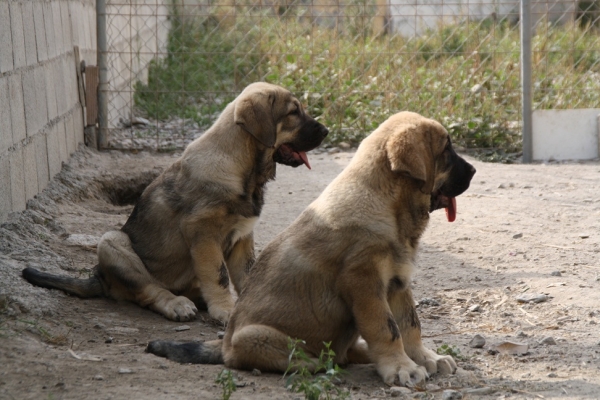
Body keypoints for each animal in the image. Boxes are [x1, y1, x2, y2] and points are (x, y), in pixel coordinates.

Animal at [23, 83, 330, 324]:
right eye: (293, 112)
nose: (327, 131)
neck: (243, 168)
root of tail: (101, 279)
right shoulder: (203, 233)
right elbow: (219, 275)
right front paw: (226, 309)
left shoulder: (243, 238)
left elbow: (248, 275)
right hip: (112, 242)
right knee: (147, 290)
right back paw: (176, 304)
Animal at [148, 111, 476, 386]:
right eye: (446, 151)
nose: (473, 171)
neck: (390, 205)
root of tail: (225, 342)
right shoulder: (365, 283)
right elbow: (388, 328)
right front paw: (401, 367)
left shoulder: (397, 282)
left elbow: (410, 325)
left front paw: (425, 358)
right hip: (254, 336)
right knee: (277, 356)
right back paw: (316, 362)